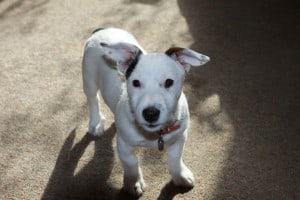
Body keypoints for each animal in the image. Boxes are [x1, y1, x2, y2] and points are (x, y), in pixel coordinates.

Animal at [81, 27, 210, 196]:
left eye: (169, 82)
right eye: (135, 83)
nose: (150, 113)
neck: (155, 135)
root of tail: (103, 30)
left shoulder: (180, 137)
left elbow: (175, 159)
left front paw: (180, 177)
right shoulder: (124, 144)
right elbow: (131, 164)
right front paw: (133, 182)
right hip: (88, 77)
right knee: (92, 99)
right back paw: (96, 123)